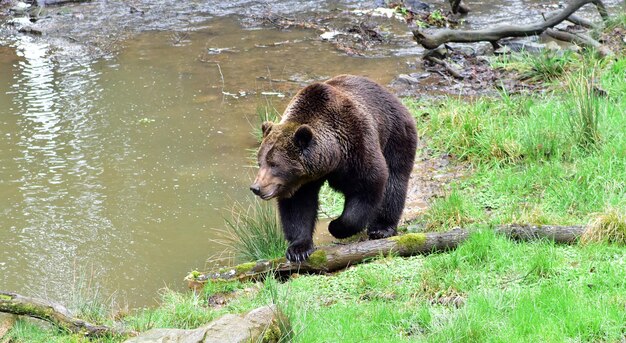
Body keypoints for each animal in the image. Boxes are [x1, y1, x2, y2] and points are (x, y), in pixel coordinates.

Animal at [249, 75, 414, 262]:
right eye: (260, 162)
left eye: (274, 164)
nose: (256, 188)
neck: (333, 156)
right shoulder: (301, 182)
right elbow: (298, 206)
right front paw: (298, 249)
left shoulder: (357, 144)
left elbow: (369, 183)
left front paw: (336, 226)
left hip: (395, 134)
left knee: (394, 180)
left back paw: (382, 228)